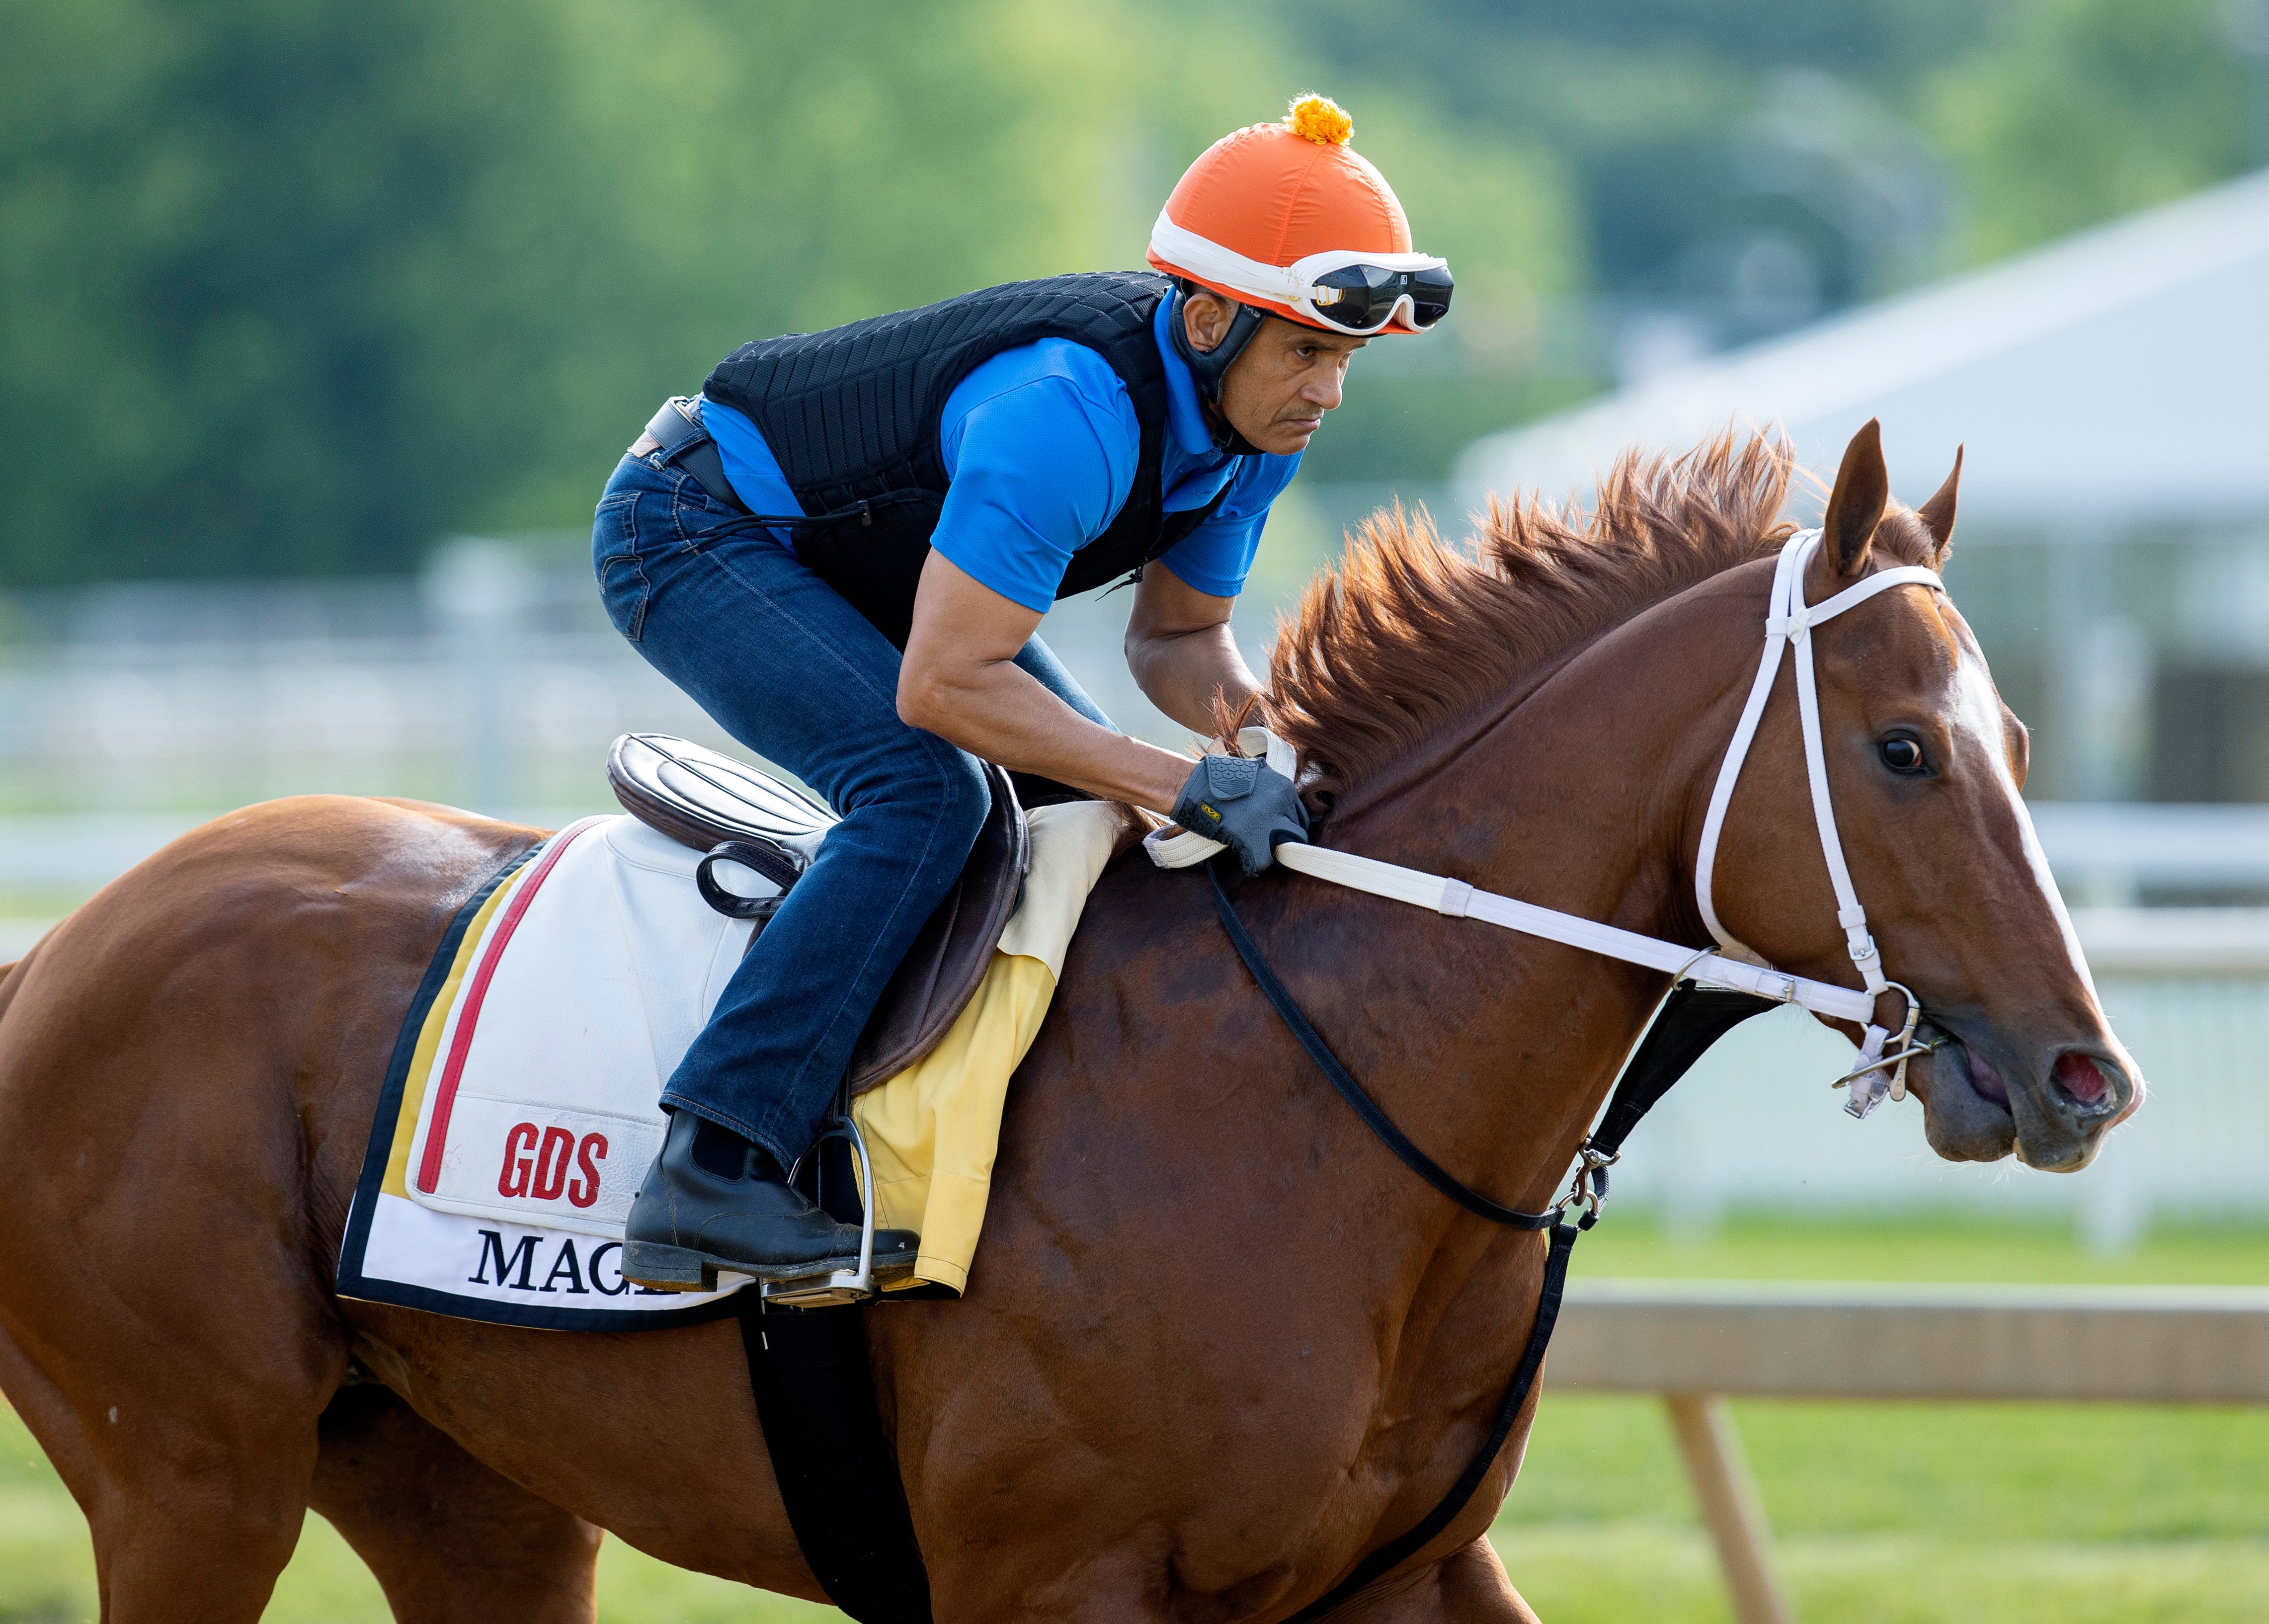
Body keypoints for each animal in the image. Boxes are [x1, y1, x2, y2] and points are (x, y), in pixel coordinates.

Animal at [0, 424, 2123, 1615]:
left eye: (2022, 739)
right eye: (1906, 748)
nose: (2083, 1073)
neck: (1323, 1095)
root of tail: (56, 953)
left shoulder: (1402, 1573)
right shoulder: (1052, 1576)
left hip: (469, 1498)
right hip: (192, 1475)